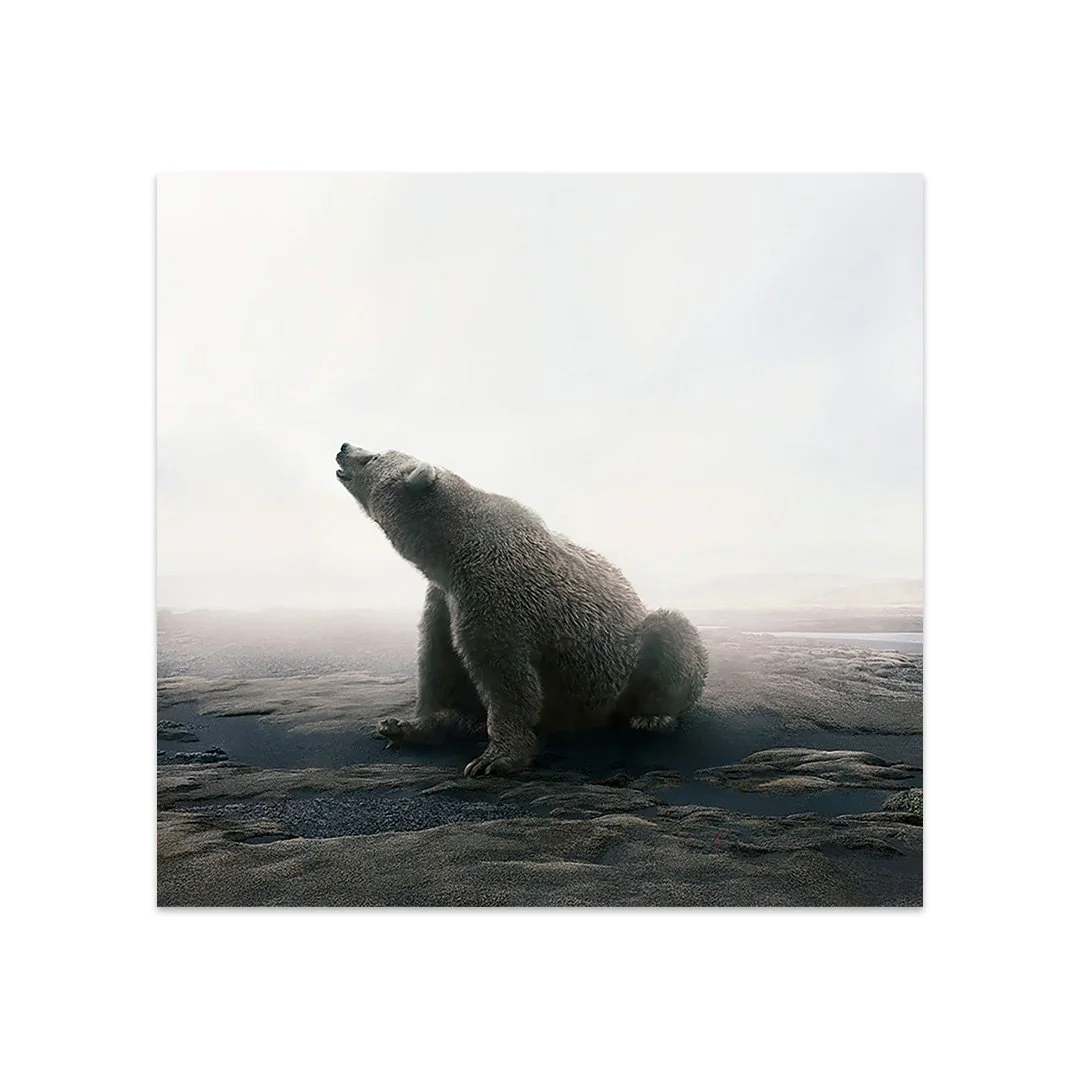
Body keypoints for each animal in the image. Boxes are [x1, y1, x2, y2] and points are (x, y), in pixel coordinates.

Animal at [336, 442, 708, 777]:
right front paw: (405, 727)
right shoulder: (443, 598)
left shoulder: (496, 592)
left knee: (669, 634)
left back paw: (652, 716)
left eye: (374, 456)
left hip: (626, 661)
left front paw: (493, 759)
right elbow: (437, 661)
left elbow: (506, 677)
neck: (455, 547)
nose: (343, 448)